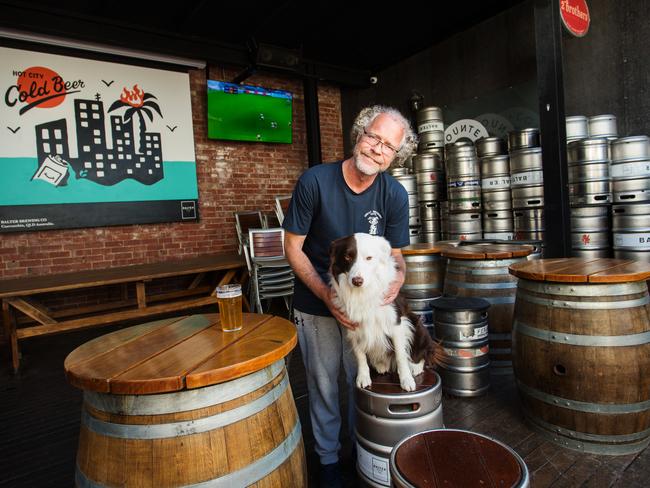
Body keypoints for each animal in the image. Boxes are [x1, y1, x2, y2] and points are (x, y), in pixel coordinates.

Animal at [330, 233, 430, 392]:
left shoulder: (396, 323)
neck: (363, 292)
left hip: (416, 324)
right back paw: (381, 365)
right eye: (347, 257)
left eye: (369, 258)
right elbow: (360, 355)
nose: (357, 281)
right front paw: (363, 377)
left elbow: (400, 355)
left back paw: (415, 367)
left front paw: (406, 379)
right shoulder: (353, 327)